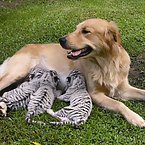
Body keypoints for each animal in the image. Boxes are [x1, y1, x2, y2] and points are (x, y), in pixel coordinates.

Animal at [0, 18, 144, 127]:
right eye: (76, 29)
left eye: (86, 31)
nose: (61, 40)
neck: (106, 63)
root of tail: (24, 47)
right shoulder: (95, 94)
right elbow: (118, 104)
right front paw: (136, 118)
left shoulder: (123, 88)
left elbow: (141, 93)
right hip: (17, 72)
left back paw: (3, 108)